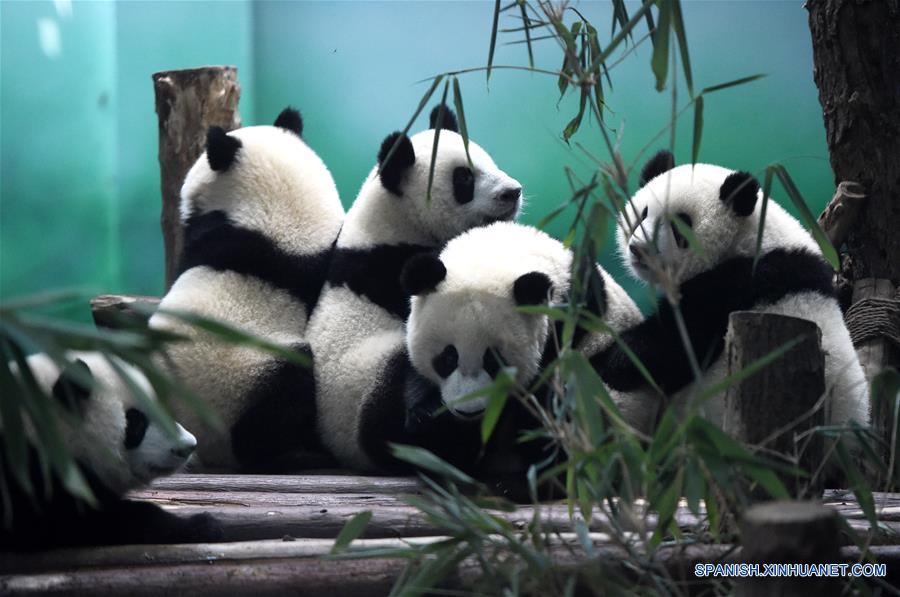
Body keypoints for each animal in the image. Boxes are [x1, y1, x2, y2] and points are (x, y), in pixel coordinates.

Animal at [306, 104, 523, 472]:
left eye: (489, 161)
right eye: (464, 178)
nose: (513, 191)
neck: (394, 223)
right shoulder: (395, 266)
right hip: (362, 392)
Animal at [399, 221, 658, 484]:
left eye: (494, 360)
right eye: (449, 357)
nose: (470, 411)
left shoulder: (569, 326)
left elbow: (543, 403)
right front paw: (431, 419)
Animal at [592, 150, 869, 435]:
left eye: (680, 225)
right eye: (642, 213)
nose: (639, 249)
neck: (747, 238)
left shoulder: (743, 283)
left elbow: (674, 342)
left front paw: (608, 362)